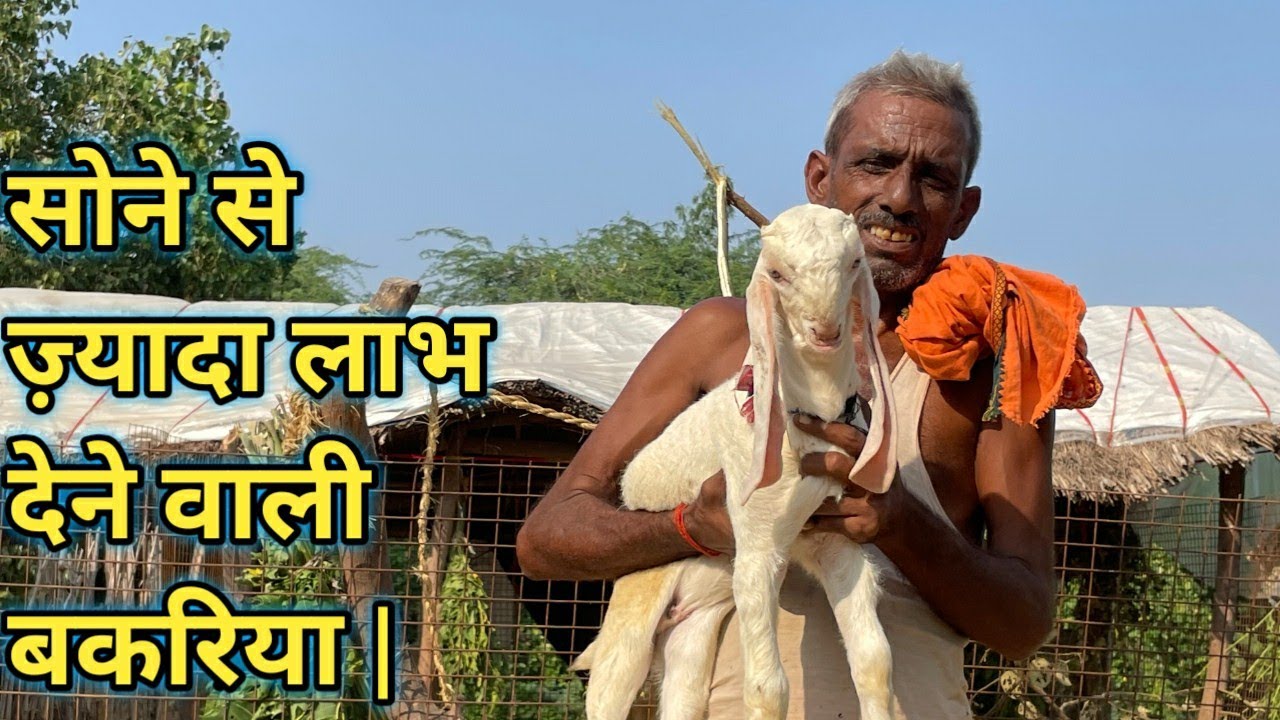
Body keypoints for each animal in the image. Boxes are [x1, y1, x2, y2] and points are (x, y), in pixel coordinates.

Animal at [571, 204, 899, 720]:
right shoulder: (757, 541)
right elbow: (768, 687)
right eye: (778, 274)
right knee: (609, 688)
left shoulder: (835, 538)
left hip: (692, 633)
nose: (825, 332)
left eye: (853, 264)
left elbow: (874, 661)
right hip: (632, 607)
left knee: (683, 697)